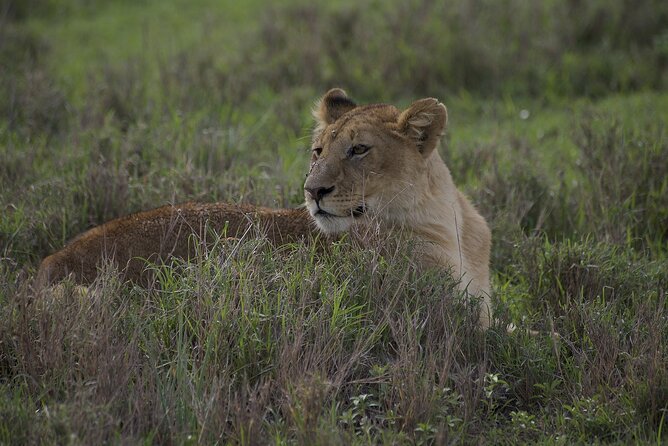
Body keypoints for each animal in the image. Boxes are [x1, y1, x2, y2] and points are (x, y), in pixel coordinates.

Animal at [36, 89, 493, 328]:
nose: (313, 191)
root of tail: (47, 266)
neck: (445, 219)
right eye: (318, 151)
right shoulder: (444, 314)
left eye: (359, 150)